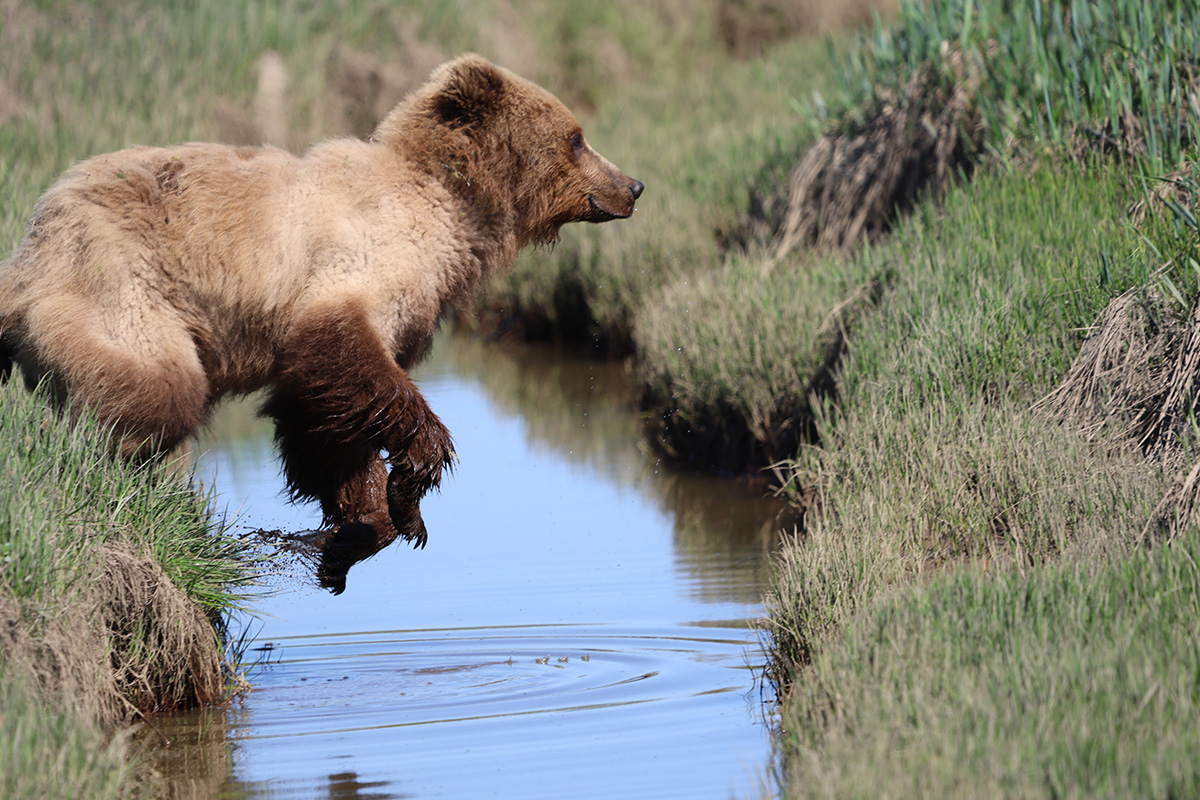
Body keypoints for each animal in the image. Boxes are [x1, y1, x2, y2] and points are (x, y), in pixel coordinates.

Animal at [0, 54, 643, 593]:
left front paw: (359, 528)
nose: (633, 185)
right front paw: (415, 477)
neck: (453, 213)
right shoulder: (357, 264)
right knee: (159, 392)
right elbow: (345, 355)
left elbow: (321, 418)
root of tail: (29, 249)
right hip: (121, 286)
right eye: (576, 137)